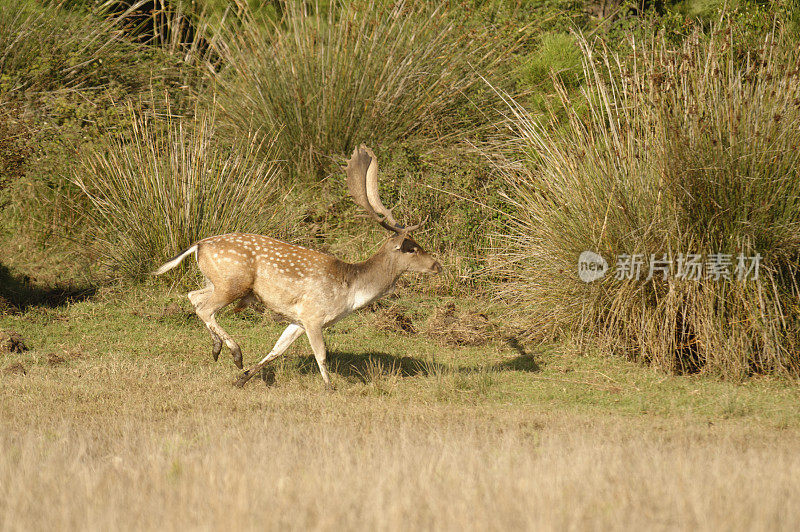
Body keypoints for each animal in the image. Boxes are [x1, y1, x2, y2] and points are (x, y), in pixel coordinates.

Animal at [150, 143, 438, 388]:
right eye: (412, 248)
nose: (437, 264)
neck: (351, 290)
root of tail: (198, 245)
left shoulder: (298, 319)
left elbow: (277, 349)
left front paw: (242, 379)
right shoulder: (313, 314)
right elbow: (321, 354)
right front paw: (330, 388)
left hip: (217, 281)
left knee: (194, 296)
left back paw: (217, 349)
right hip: (233, 282)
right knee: (205, 308)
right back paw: (235, 354)